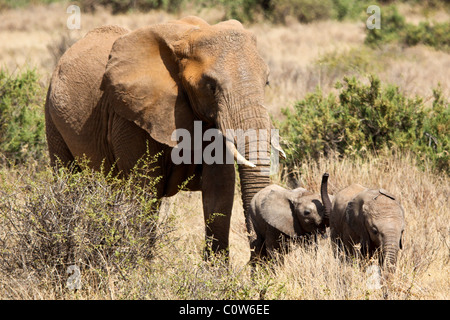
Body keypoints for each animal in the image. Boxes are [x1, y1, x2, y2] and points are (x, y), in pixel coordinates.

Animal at [44, 16, 284, 256]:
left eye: (267, 82)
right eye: (211, 86)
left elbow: (220, 191)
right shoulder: (129, 118)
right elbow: (144, 191)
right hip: (51, 115)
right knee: (68, 180)